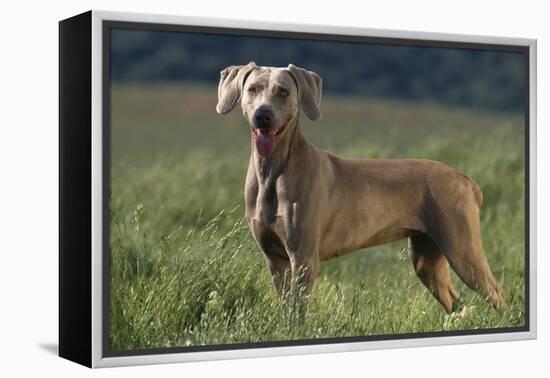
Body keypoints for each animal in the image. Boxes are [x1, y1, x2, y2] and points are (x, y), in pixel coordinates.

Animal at [217, 62, 508, 314]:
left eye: (283, 92)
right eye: (253, 89)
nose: (263, 116)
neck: (272, 172)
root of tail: (464, 178)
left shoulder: (304, 258)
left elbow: (298, 312)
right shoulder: (274, 259)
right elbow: (285, 309)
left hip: (462, 249)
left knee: (498, 297)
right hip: (427, 258)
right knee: (457, 304)